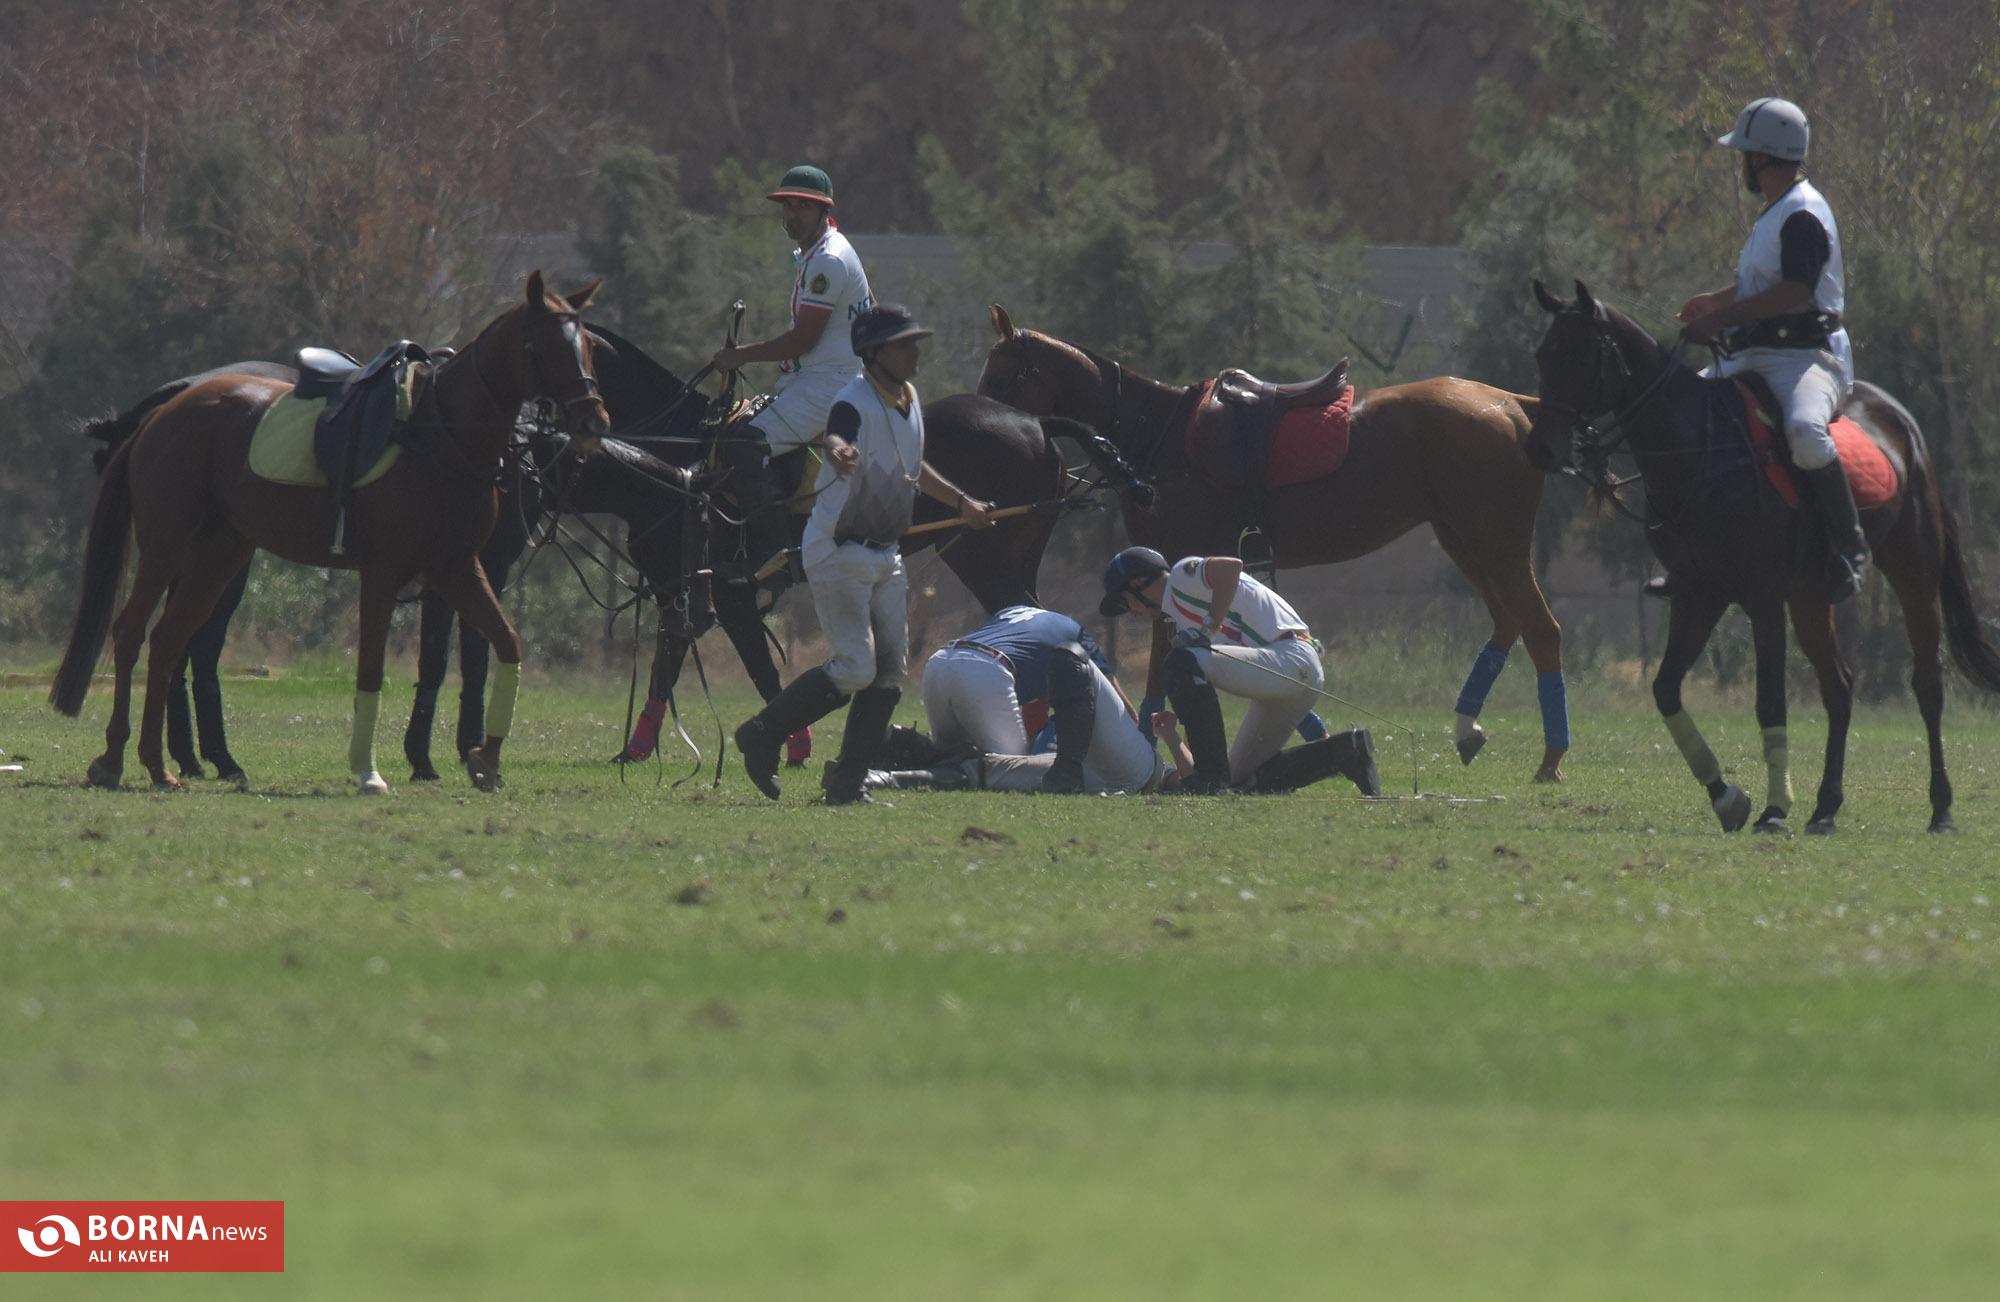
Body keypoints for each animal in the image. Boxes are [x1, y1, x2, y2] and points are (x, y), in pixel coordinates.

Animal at [50, 272, 612, 796]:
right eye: (541, 347)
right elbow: (371, 669)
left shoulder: (458, 569)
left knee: (167, 641)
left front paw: (486, 759)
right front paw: (369, 771)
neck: (441, 436)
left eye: (588, 346)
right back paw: (114, 759)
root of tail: (160, 415)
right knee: (131, 633)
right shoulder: (385, 572)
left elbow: (508, 643)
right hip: (166, 548)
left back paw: (157, 765)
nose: (593, 420)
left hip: (219, 556)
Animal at [976, 304, 1568, 784]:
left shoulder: (1179, 559)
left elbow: (1165, 662)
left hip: (1496, 540)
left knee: (1541, 628)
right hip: (1464, 539)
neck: (1156, 437)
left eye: (1001, 375)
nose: (986, 424)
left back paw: (1551, 760)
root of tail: (1513, 404)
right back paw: (1469, 729)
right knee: (1508, 623)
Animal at [1520, 282, 1992, 836]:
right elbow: (1665, 688)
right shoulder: (1698, 593)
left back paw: (1941, 809)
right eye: (1542, 355)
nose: (1541, 449)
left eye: (1580, 356)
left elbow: (1769, 700)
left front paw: (1773, 809)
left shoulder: (1761, 598)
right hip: (1811, 597)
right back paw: (1826, 808)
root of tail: (1905, 425)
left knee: (1927, 683)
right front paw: (1727, 798)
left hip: (1912, 570)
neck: (1698, 453)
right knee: (1839, 686)